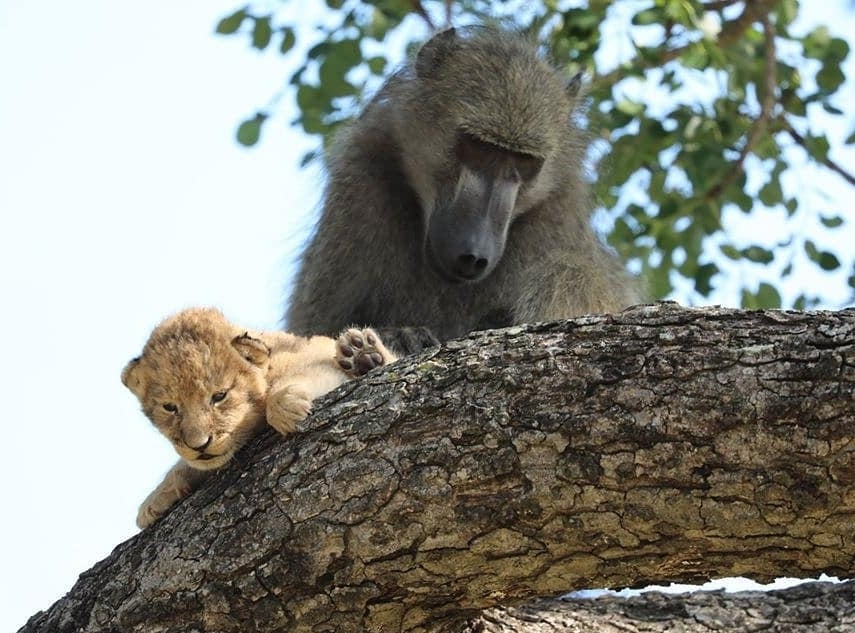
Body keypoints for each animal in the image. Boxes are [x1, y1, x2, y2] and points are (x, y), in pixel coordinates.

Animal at [122, 307, 396, 528]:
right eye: (170, 407)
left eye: (219, 396)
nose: (199, 445)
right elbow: (186, 465)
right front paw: (156, 498)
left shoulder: (313, 353)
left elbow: (306, 375)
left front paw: (286, 409)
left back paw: (363, 352)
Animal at [286, 27, 642, 353]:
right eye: (479, 146)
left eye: (524, 161)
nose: (474, 255)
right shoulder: (359, 177)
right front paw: (399, 337)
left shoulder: (557, 212)